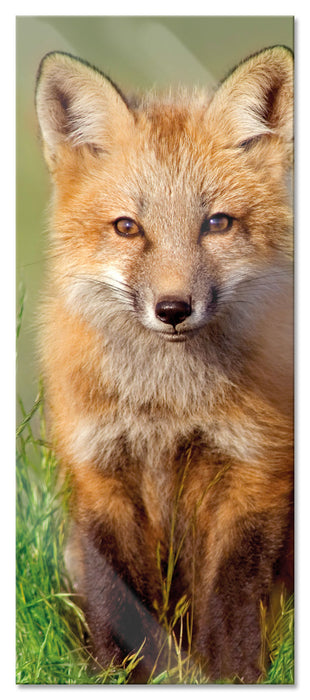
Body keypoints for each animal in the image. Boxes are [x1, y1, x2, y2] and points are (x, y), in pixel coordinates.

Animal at [35, 45, 294, 684]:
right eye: (128, 227)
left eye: (216, 223)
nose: (173, 309)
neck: (165, 408)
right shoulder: (100, 473)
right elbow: (117, 602)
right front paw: (114, 675)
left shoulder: (254, 472)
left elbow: (231, 604)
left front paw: (231, 679)